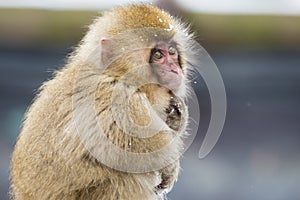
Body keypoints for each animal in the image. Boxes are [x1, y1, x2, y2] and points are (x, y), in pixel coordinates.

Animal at [9, 3, 195, 200]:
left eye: (172, 52)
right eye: (158, 55)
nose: (174, 69)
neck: (116, 74)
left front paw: (176, 116)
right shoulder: (117, 97)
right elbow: (127, 146)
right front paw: (170, 164)